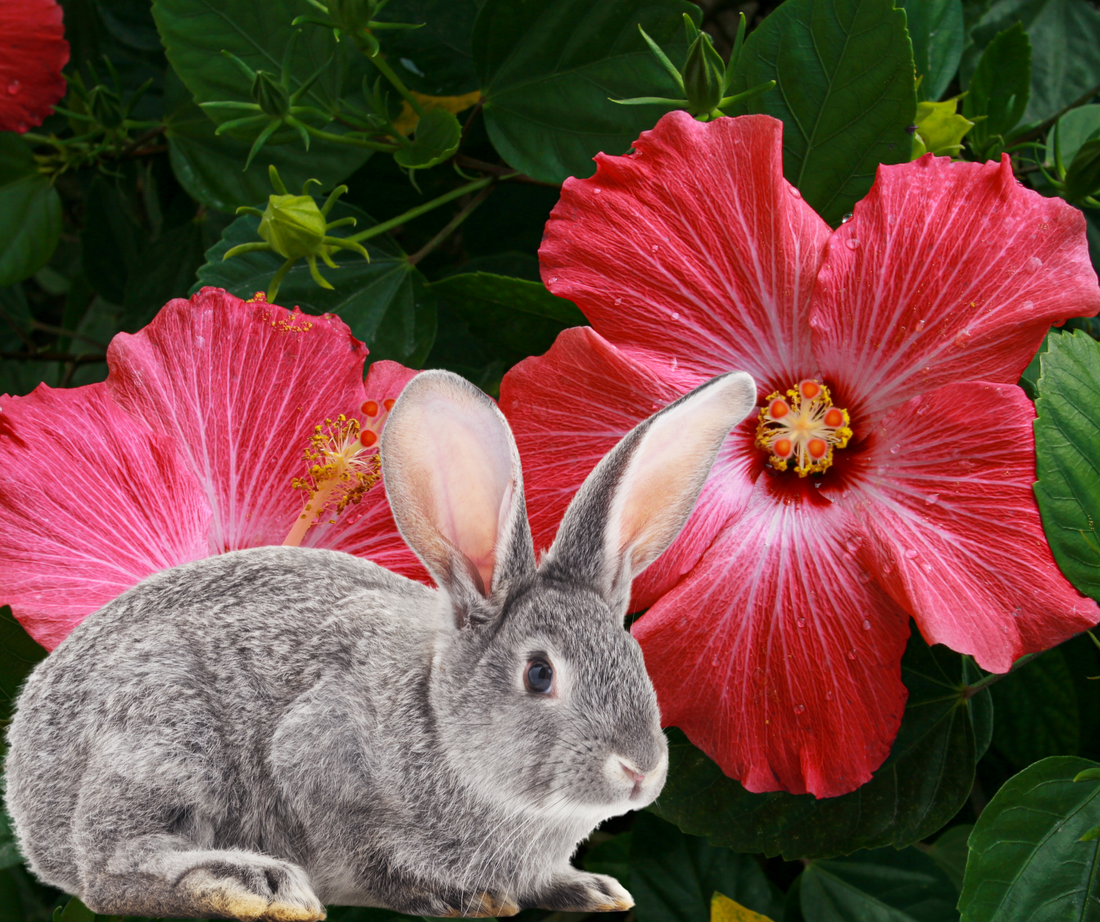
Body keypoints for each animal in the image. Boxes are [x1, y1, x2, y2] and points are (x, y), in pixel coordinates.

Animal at [4, 367, 757, 922]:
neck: (441, 724)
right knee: (112, 870)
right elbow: (372, 856)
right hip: (163, 735)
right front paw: (462, 899)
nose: (639, 771)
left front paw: (588, 890)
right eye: (540, 674)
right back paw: (255, 886)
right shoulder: (318, 756)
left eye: (637, 659)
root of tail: (26, 792)